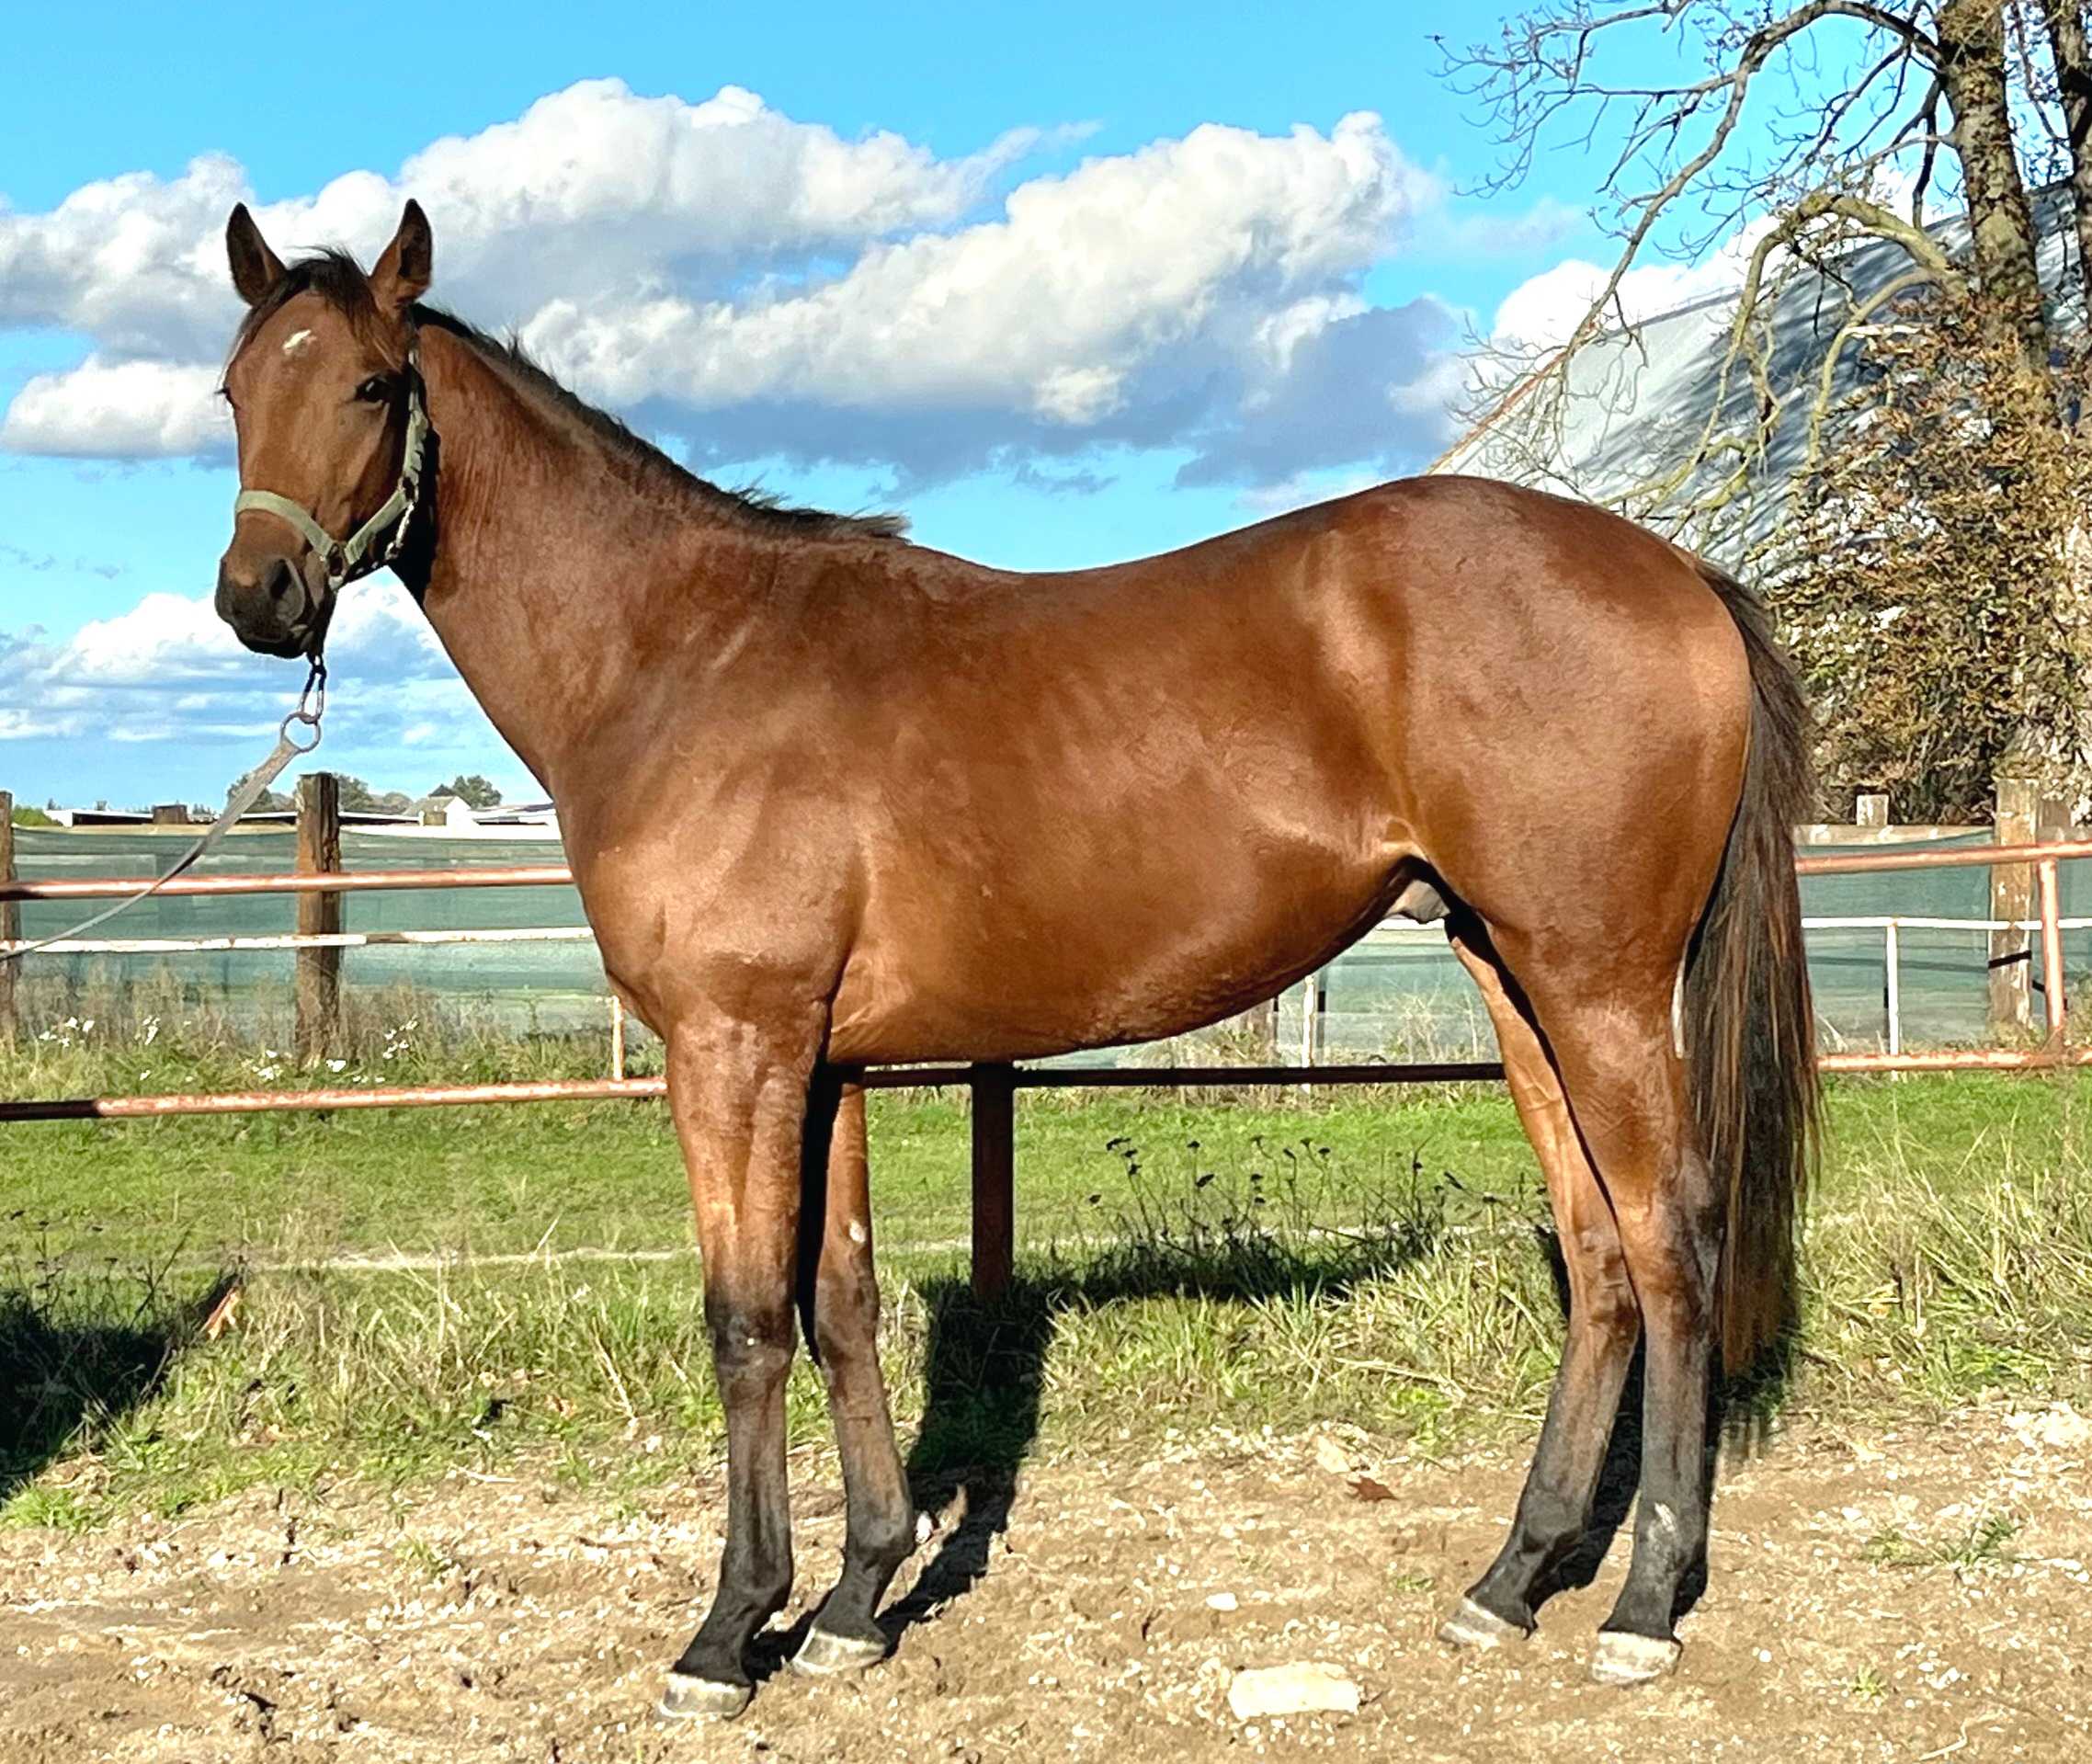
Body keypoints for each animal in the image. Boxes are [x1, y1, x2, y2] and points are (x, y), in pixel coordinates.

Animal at [210, 200, 1816, 1716]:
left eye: (368, 382)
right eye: (232, 388)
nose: (257, 594)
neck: (682, 655)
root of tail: (1679, 572)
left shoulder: (735, 1045)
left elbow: (747, 1320)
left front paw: (730, 1630)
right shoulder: (825, 1059)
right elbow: (842, 1302)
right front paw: (857, 1598)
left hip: (1601, 983)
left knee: (1671, 1243)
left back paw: (1643, 1602)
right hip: (1512, 973)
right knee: (1600, 1257)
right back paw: (1512, 1575)